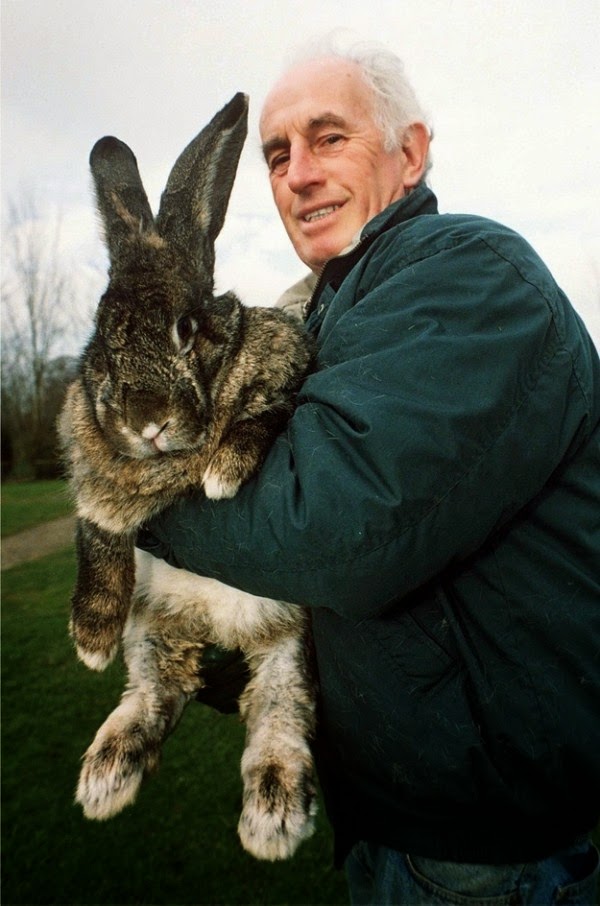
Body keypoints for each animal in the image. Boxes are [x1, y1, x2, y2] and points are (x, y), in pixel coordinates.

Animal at [57, 93, 318, 861]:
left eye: (187, 326)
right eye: (103, 340)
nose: (146, 421)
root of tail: (210, 634)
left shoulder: (285, 374)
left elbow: (262, 417)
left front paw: (225, 473)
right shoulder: (96, 489)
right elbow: (98, 538)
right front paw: (90, 638)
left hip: (291, 647)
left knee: (278, 713)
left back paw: (272, 813)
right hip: (152, 637)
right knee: (152, 695)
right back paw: (107, 774)